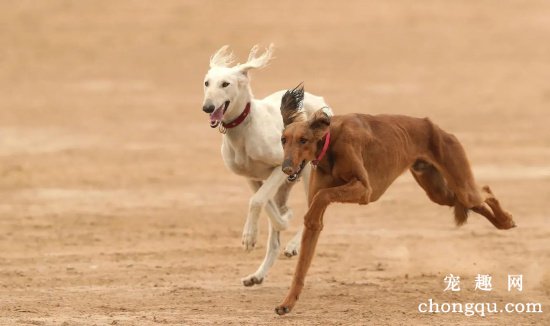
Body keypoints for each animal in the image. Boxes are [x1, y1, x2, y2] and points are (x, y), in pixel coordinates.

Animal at [203, 44, 332, 286]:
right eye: (207, 83)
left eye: (225, 84)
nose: (207, 107)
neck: (244, 129)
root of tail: (319, 101)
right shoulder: (252, 177)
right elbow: (265, 206)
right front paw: (282, 219)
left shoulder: (280, 167)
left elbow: (256, 201)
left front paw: (249, 238)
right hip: (286, 186)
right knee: (276, 237)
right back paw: (257, 275)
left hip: (309, 174)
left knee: (315, 212)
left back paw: (293, 246)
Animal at [276, 84, 516, 316]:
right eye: (283, 140)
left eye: (303, 140)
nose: (286, 168)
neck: (329, 141)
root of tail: (434, 127)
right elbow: (302, 264)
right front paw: (287, 303)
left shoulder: (364, 190)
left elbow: (322, 196)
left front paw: (311, 215)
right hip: (439, 191)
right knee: (475, 200)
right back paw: (502, 222)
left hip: (460, 183)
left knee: (484, 191)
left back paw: (506, 219)